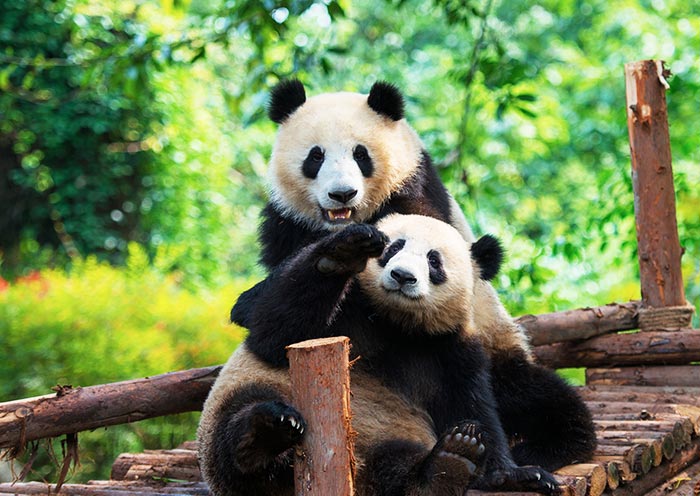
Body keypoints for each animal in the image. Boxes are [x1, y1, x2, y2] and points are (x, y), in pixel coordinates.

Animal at [201, 214, 561, 496]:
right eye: (393, 248)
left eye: (434, 261)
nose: (402, 276)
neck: (396, 323)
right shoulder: (348, 311)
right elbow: (274, 333)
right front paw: (343, 252)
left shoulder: (450, 349)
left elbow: (473, 405)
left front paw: (514, 474)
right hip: (248, 400)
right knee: (238, 425)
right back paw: (265, 433)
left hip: (389, 438)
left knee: (396, 467)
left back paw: (446, 466)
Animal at [231, 80, 596, 471]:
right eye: (316, 156)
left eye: (361, 154)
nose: (342, 193)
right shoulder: (287, 224)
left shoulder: (414, 194)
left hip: (496, 346)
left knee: (538, 396)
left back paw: (543, 445)